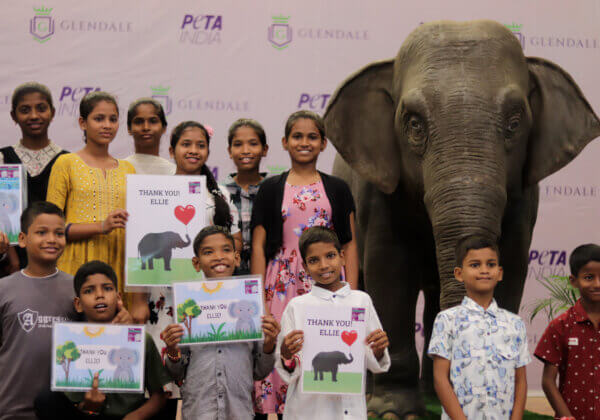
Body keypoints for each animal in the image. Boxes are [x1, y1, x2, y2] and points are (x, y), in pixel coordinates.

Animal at [326, 18, 600, 414]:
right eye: (414, 125)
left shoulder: (524, 195)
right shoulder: (376, 192)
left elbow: (513, 262)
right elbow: (389, 268)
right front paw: (394, 411)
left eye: (515, 122)